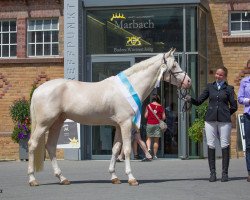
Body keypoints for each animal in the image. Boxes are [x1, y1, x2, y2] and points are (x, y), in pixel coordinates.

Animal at [27, 48, 191, 186]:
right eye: (174, 65)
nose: (188, 81)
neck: (129, 88)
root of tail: (38, 90)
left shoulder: (118, 125)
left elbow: (115, 149)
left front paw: (114, 177)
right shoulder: (125, 124)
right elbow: (126, 150)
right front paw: (131, 178)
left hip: (57, 122)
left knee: (51, 146)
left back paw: (62, 178)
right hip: (44, 123)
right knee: (32, 144)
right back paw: (32, 179)